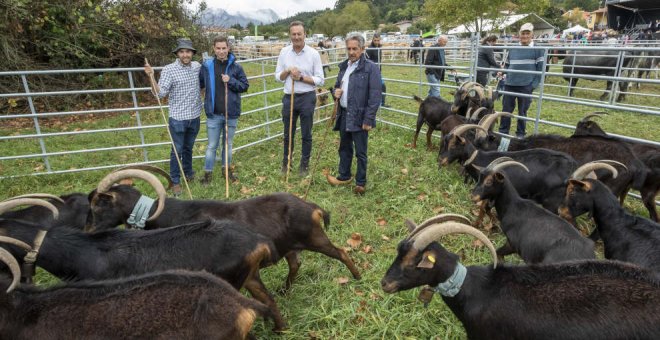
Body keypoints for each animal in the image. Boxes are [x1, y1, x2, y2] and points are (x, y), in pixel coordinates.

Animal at [86, 169, 360, 290]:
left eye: (98, 203)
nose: (88, 230)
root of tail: (313, 207)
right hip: (291, 245)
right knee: (296, 264)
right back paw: (284, 290)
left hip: (315, 237)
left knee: (341, 252)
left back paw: (357, 278)